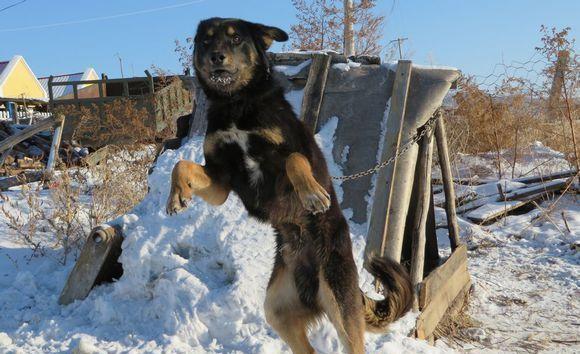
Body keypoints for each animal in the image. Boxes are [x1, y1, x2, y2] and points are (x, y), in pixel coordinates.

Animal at [165, 17, 414, 354]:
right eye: (205, 40)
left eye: (236, 38)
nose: (217, 56)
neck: (236, 103)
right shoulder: (221, 181)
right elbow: (182, 165)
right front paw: (176, 196)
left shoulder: (287, 156)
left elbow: (294, 158)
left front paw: (312, 194)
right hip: (277, 309)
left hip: (340, 306)